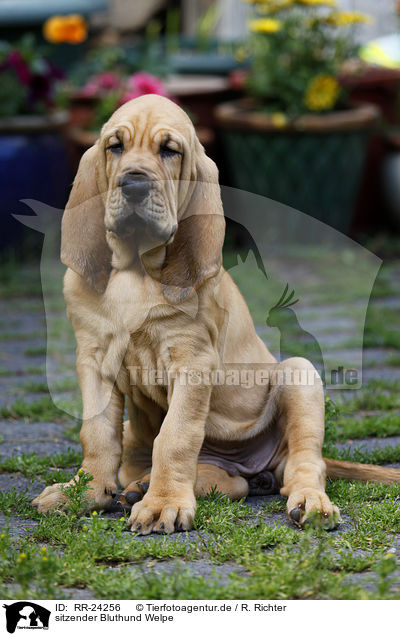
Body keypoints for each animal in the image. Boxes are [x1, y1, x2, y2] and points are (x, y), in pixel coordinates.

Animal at [32, 93, 400, 532]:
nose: (134, 184)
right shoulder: (93, 358)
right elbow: (97, 432)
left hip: (299, 375)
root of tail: (254, 468)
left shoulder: (192, 360)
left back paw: (309, 501)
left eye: (169, 151)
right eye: (115, 147)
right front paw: (84, 492)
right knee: (225, 480)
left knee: (302, 465)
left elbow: (176, 435)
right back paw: (139, 486)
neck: (136, 268)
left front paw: (165, 503)